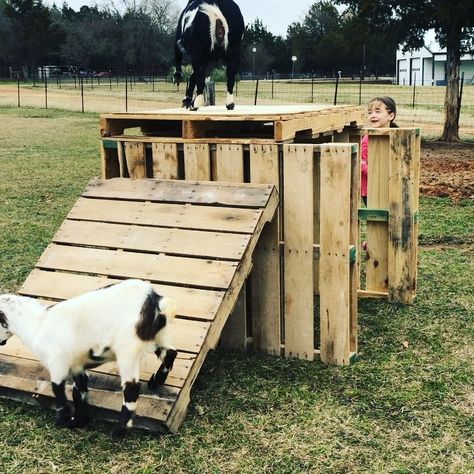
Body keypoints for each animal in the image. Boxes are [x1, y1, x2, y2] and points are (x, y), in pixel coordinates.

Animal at [0, 280, 177, 438]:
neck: (37, 325)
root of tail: (154, 301)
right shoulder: (77, 367)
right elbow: (79, 393)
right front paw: (78, 421)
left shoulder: (57, 364)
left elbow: (58, 392)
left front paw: (62, 420)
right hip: (156, 336)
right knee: (171, 353)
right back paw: (156, 382)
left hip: (128, 349)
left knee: (131, 388)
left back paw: (119, 432)